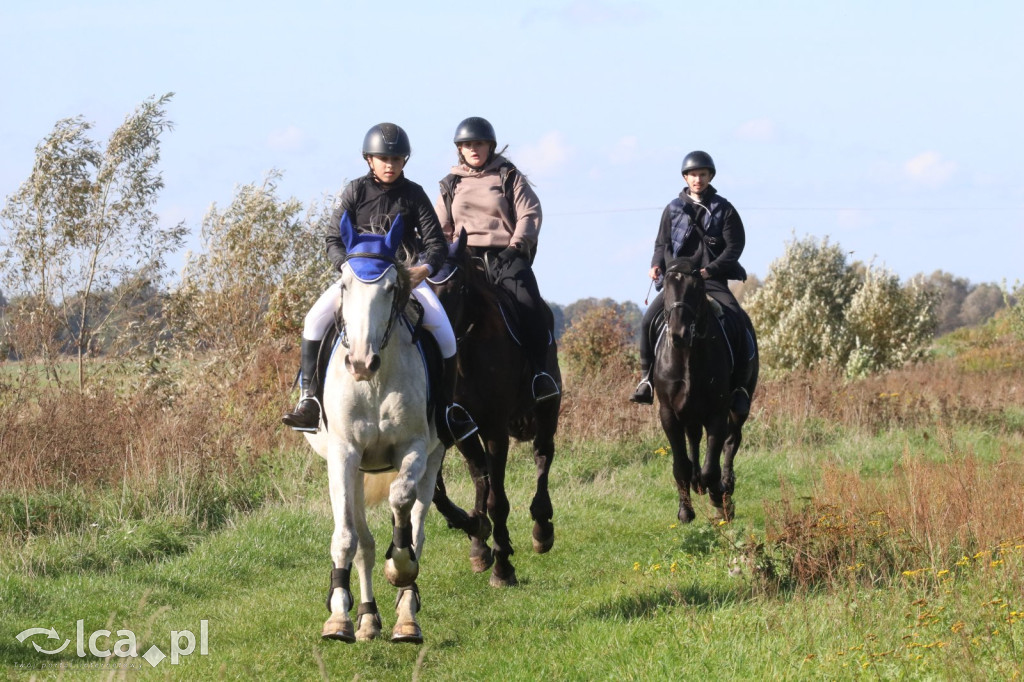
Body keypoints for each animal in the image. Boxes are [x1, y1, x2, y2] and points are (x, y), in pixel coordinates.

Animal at [305, 212, 446, 643]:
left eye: (389, 288)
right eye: (344, 285)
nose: (360, 363)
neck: (375, 381)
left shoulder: (414, 446)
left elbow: (401, 500)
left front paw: (399, 567)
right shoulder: (344, 454)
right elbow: (347, 537)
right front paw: (339, 618)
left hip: (435, 457)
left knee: (416, 527)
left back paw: (407, 619)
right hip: (355, 469)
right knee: (364, 543)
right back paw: (367, 618)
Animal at [428, 231, 565, 585]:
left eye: (456, 287)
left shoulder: (494, 429)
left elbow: (497, 501)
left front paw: (503, 566)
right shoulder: (460, 427)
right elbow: (466, 486)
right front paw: (477, 533)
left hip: (548, 407)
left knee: (543, 454)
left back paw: (541, 527)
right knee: (481, 475)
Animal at [651, 256, 757, 520]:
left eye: (696, 286)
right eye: (666, 285)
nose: (678, 334)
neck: (687, 356)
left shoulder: (717, 412)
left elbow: (712, 468)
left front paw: (719, 498)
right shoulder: (669, 413)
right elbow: (680, 464)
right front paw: (685, 510)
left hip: (738, 407)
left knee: (731, 441)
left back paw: (725, 485)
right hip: (689, 414)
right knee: (694, 441)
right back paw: (696, 481)